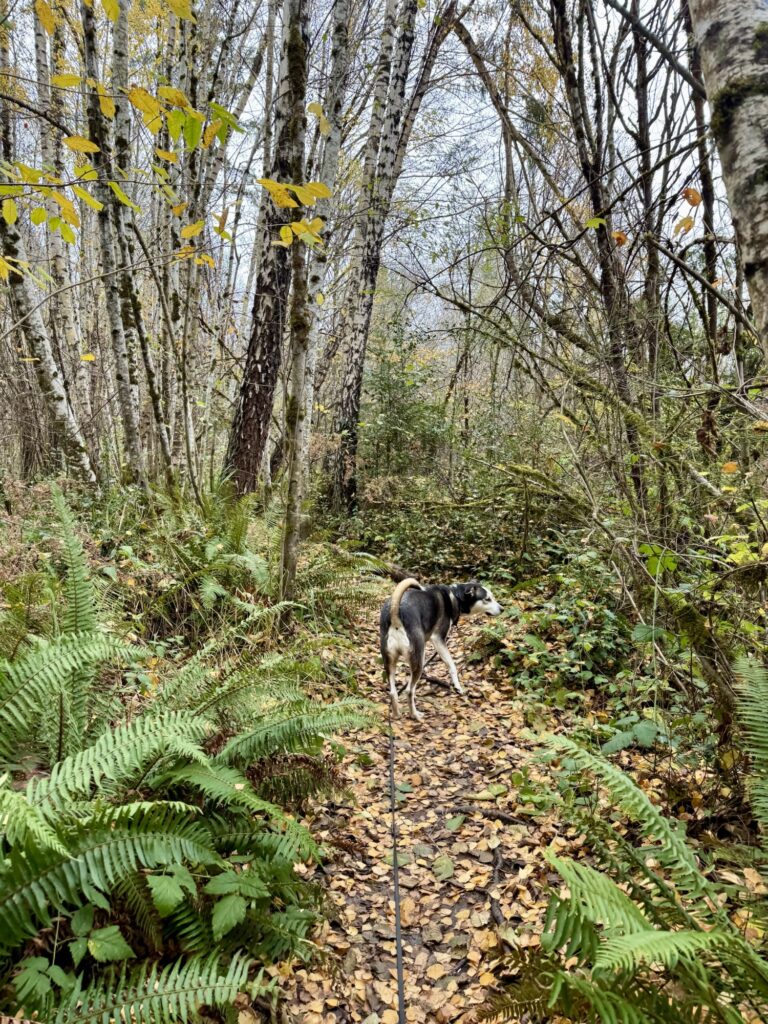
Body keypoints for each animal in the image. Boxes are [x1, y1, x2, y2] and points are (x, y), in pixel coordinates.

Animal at [380, 577, 501, 721]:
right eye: (487, 599)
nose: (502, 609)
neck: (455, 596)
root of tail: (396, 615)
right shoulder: (438, 640)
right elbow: (452, 666)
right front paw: (458, 687)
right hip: (418, 659)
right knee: (409, 691)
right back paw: (415, 715)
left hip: (390, 662)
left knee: (393, 692)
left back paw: (396, 714)